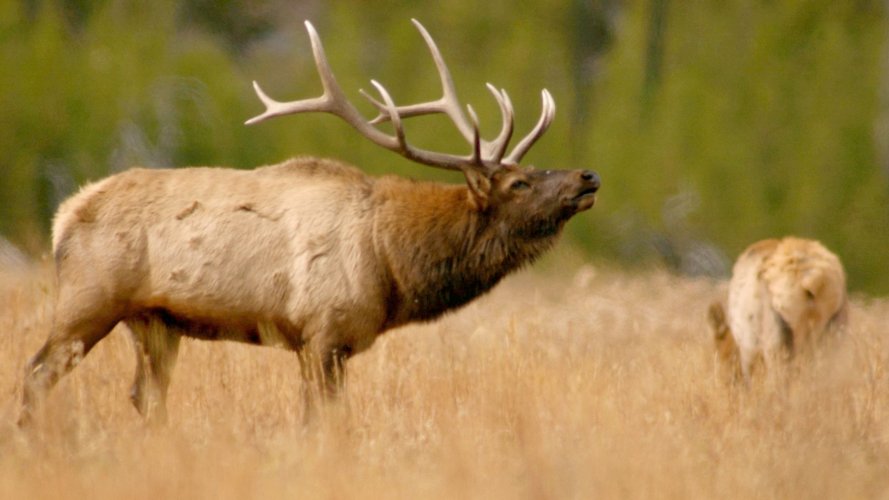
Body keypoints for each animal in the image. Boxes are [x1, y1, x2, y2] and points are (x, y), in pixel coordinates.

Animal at [18, 19, 600, 426]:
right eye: (518, 183)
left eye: (532, 169)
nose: (588, 176)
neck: (391, 264)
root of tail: (63, 216)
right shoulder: (321, 333)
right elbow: (322, 423)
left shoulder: (331, 345)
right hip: (90, 300)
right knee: (37, 374)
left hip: (153, 322)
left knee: (145, 396)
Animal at [707, 237, 848, 382]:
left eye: (719, 355)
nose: (722, 380)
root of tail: (812, 280)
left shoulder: (749, 347)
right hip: (833, 331)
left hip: (776, 339)